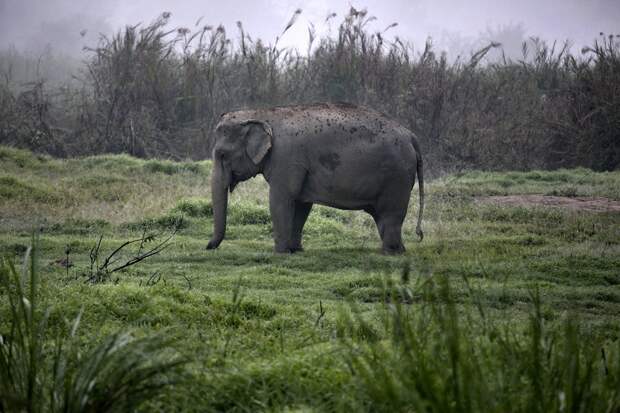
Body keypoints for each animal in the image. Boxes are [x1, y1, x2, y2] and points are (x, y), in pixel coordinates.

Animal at [206, 101, 424, 253]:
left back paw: (389, 252)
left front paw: (280, 252)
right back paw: (398, 250)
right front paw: (294, 250)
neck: (261, 114)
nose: (208, 246)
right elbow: (301, 205)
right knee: (384, 218)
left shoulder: (286, 158)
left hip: (396, 178)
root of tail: (411, 136)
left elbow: (281, 200)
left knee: (390, 214)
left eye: (222, 155)